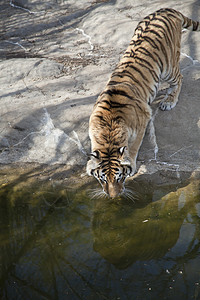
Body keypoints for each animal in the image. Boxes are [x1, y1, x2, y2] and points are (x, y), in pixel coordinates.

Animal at [86, 7, 200, 198]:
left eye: (119, 177)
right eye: (103, 179)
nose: (113, 196)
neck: (108, 132)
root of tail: (166, 10)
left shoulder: (141, 122)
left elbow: (133, 147)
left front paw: (131, 163)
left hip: (168, 68)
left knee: (179, 77)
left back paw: (169, 100)